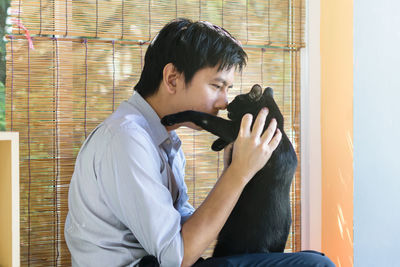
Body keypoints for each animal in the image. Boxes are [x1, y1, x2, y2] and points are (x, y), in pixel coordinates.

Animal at [162, 85, 296, 258]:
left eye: (238, 99)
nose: (227, 105)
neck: (276, 125)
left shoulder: (234, 128)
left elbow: (202, 116)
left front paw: (171, 117)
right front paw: (217, 145)